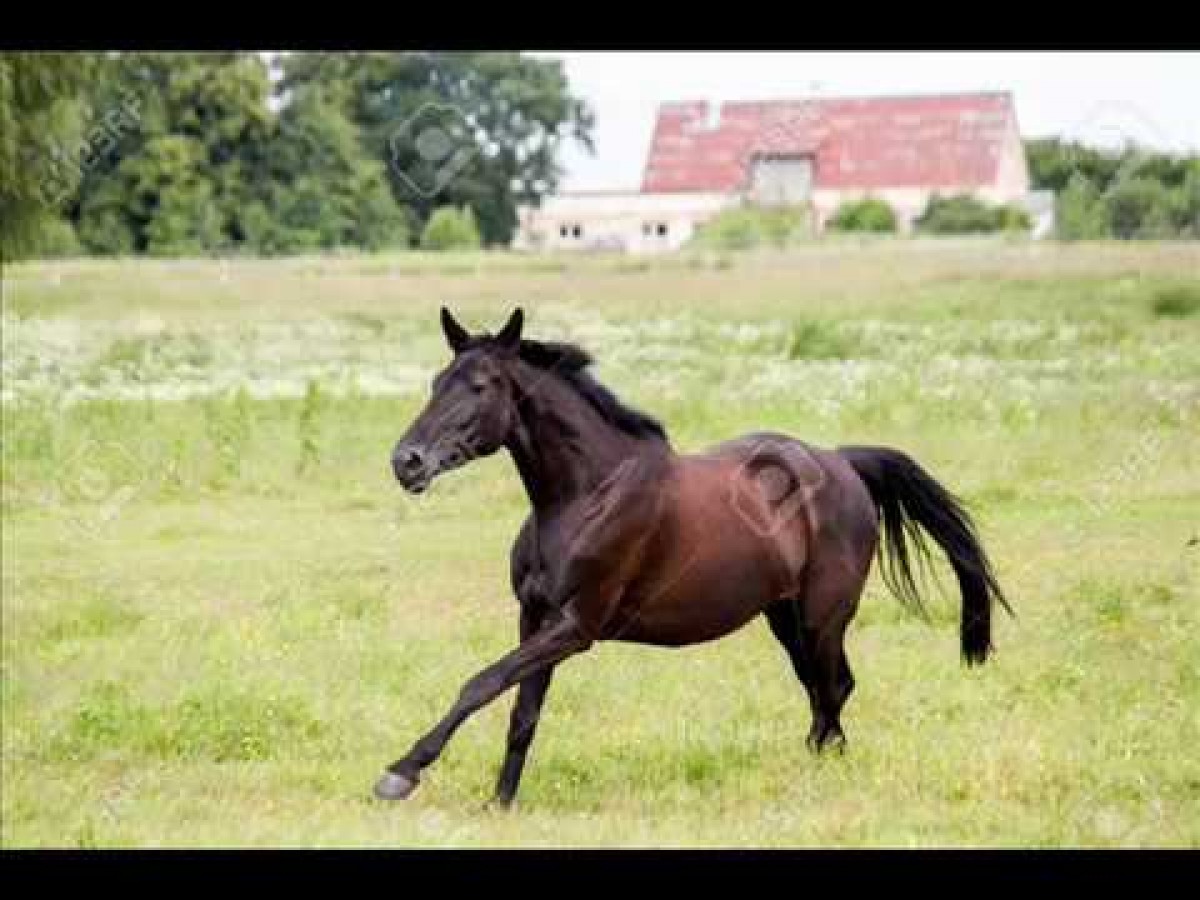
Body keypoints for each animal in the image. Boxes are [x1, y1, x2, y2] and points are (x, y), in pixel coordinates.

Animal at [374, 307, 1010, 806]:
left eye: (480, 385)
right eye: (437, 380)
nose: (406, 461)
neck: (586, 494)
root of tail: (841, 462)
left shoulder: (575, 627)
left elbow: (480, 683)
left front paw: (401, 773)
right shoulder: (535, 619)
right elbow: (520, 713)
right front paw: (500, 804)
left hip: (822, 616)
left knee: (833, 688)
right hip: (783, 617)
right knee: (823, 688)